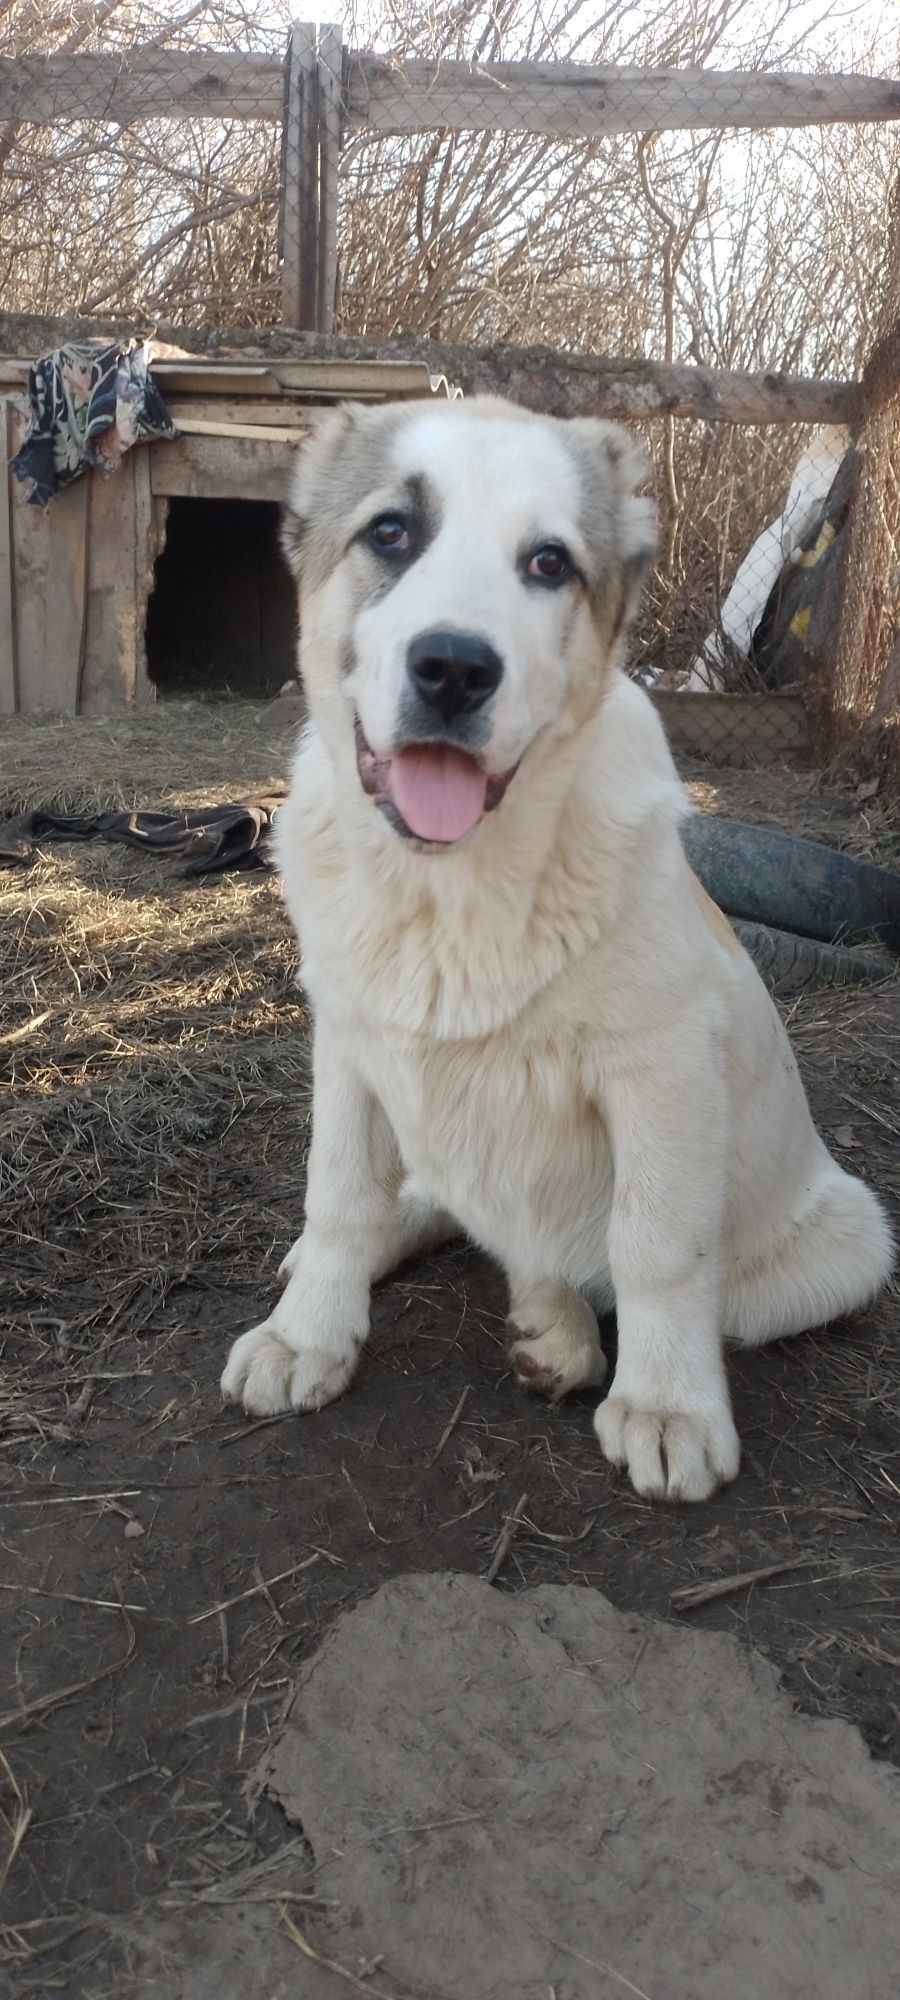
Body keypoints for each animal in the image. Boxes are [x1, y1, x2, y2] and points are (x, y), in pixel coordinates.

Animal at [223, 398, 892, 1504]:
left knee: (579, 1257)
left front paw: (668, 1406)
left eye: (548, 563)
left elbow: (657, 1244)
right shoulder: (350, 1045)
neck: (450, 887)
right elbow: (341, 1195)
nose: (455, 668)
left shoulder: (662, 1070)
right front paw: (308, 1331)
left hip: (849, 1240)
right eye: (391, 533)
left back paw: (559, 1325)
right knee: (439, 1204)